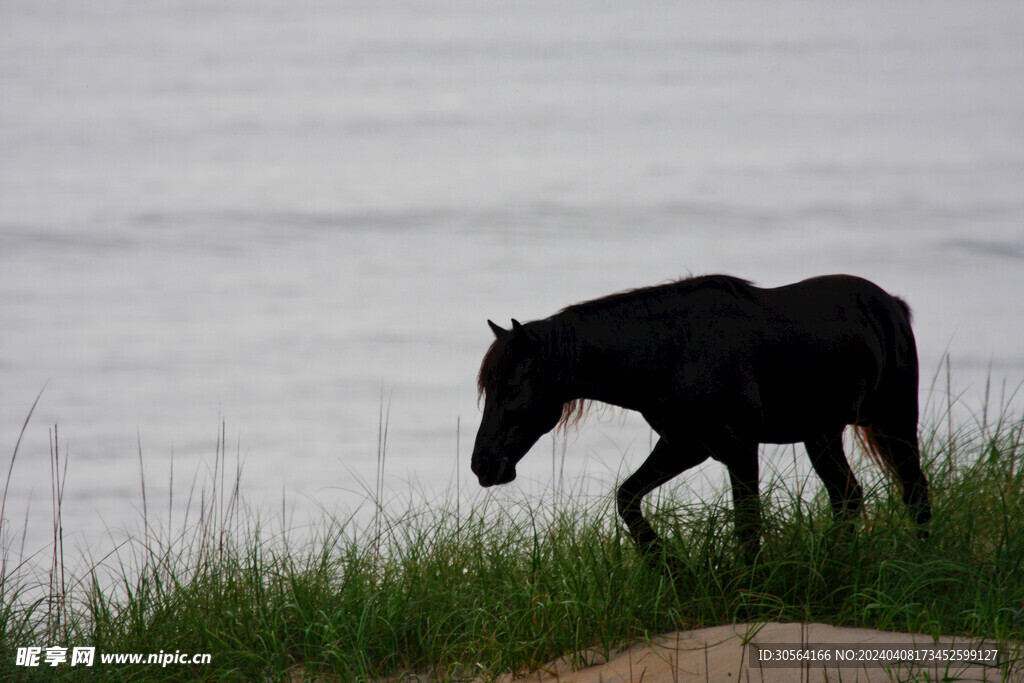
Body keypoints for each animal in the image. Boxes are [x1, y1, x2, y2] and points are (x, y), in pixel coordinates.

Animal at [468, 274, 929, 565]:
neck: (672, 353)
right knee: (847, 498)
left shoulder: (739, 449)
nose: (482, 465)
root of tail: (892, 305)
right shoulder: (685, 446)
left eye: (510, 387)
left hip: (895, 420)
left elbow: (748, 524)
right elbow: (627, 497)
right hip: (822, 434)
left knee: (913, 491)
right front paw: (668, 564)